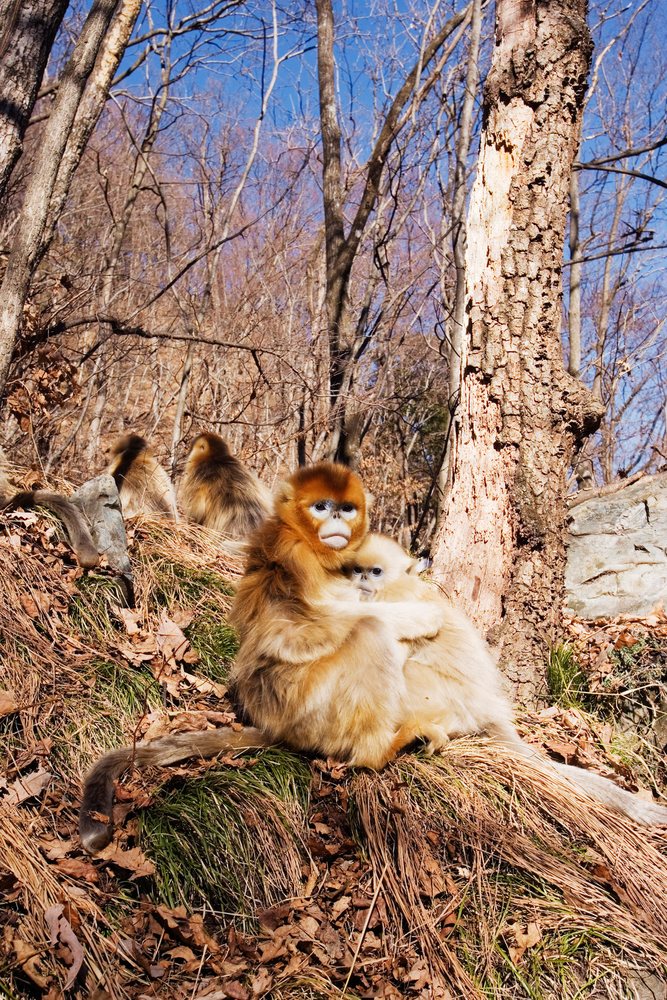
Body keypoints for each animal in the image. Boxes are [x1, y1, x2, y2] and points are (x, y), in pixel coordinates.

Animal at [79, 462, 446, 853]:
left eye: (346, 508)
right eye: (321, 506)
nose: (336, 519)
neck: (308, 542)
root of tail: (272, 723)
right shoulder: (297, 557)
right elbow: (299, 632)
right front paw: (422, 616)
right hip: (307, 705)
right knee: (370, 632)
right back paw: (379, 751)